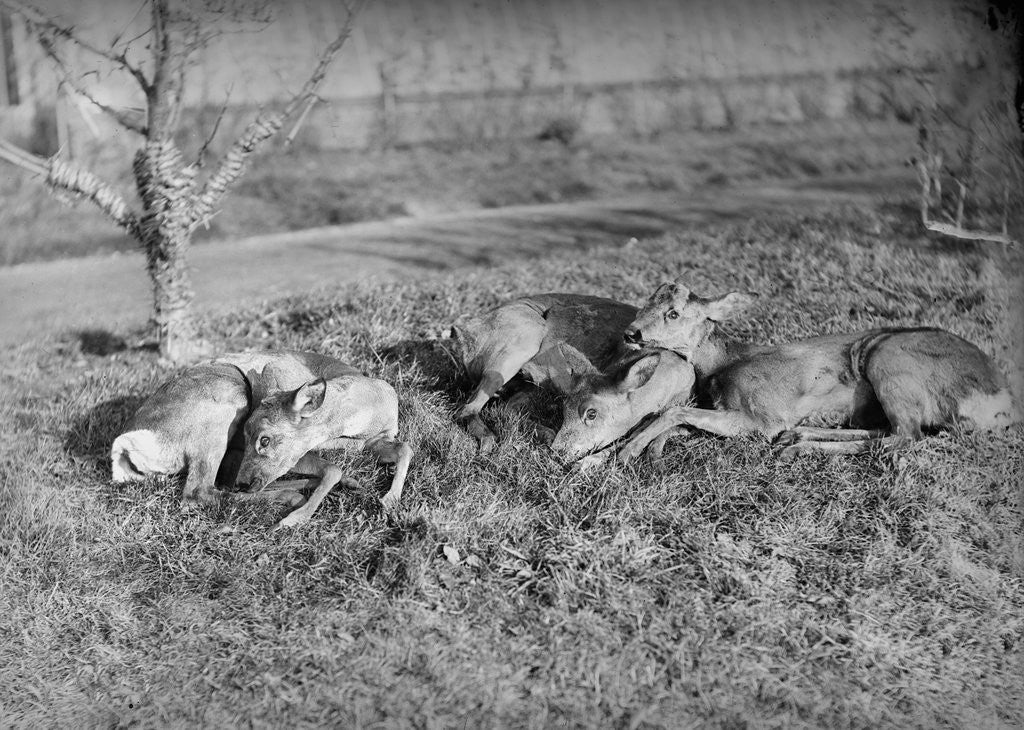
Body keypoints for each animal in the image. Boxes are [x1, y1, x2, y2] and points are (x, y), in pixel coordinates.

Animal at [616, 279, 1019, 461]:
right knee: (895, 430)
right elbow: (681, 418)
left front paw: (629, 450)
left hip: (891, 357)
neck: (723, 364)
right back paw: (800, 434)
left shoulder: (762, 415)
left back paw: (797, 446)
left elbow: (674, 411)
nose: (631, 333)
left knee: (906, 436)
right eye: (646, 301)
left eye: (673, 313)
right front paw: (649, 447)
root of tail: (1006, 401)